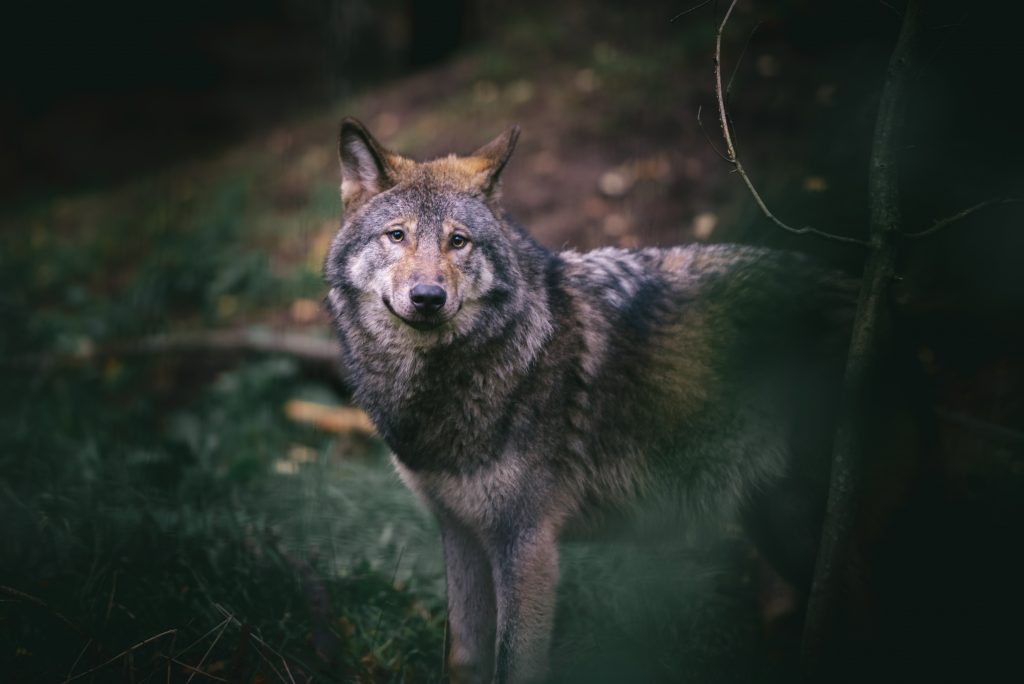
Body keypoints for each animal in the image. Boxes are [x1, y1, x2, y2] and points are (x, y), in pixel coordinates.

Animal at [323, 119, 856, 684]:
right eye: (396, 235)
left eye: (458, 241)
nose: (428, 297)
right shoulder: (461, 531)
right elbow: (464, 659)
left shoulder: (527, 542)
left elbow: (514, 664)